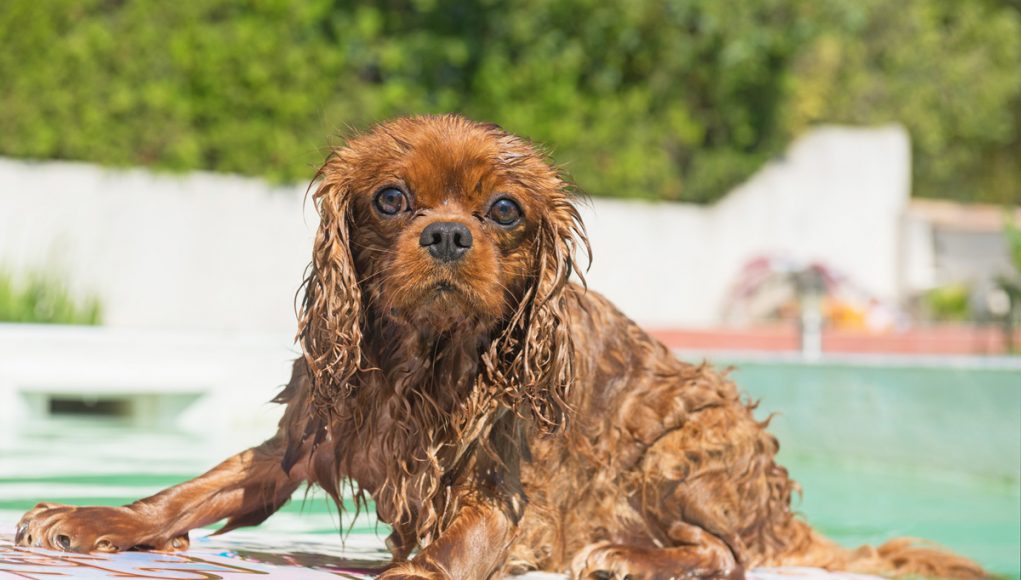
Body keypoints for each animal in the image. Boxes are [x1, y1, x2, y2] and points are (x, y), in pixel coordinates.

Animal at [15, 115, 984, 575]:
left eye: (504, 210)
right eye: (392, 199)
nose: (448, 235)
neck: (424, 358)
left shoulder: (501, 485)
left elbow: (454, 548)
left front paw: (411, 574)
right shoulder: (304, 437)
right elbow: (193, 490)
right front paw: (97, 518)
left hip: (686, 442)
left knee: (732, 555)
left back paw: (628, 558)